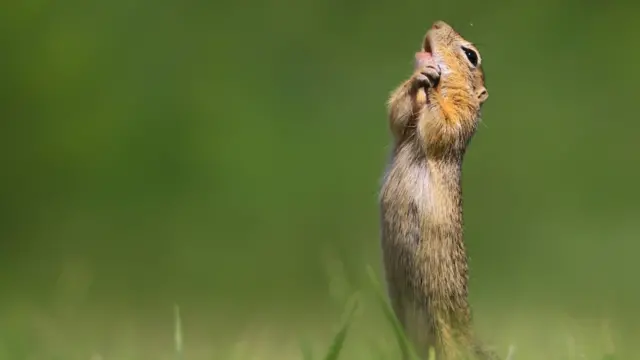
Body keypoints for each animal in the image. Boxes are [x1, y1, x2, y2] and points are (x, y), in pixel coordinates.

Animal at [380, 21, 496, 358]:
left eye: (471, 55)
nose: (436, 24)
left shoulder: (460, 116)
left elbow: (441, 125)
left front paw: (431, 82)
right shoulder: (403, 125)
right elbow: (397, 114)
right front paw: (420, 77)